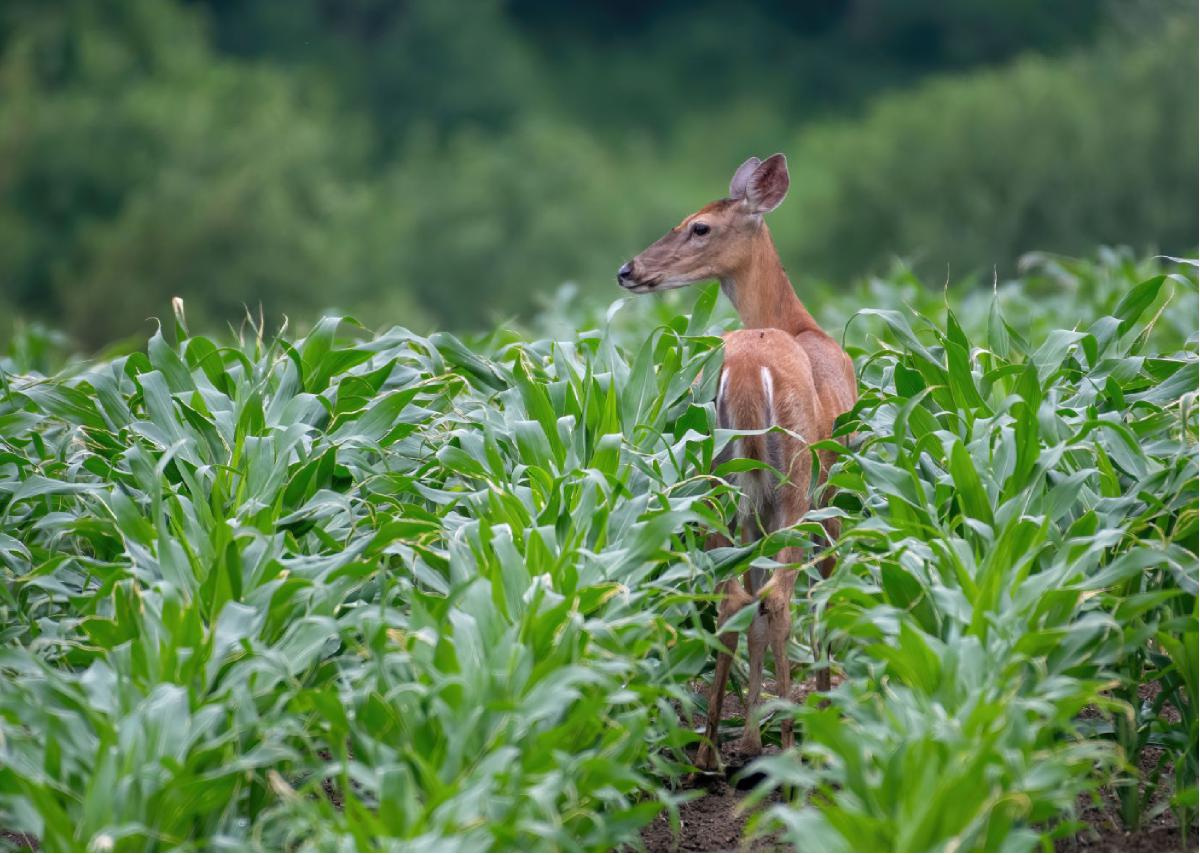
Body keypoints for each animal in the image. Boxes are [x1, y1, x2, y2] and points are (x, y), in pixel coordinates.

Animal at [619, 154, 854, 773]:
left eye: (699, 226)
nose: (627, 270)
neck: (802, 324)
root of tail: (747, 371)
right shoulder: (834, 488)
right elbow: (822, 591)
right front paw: (818, 716)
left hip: (717, 480)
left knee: (732, 598)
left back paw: (709, 752)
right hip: (791, 479)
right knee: (777, 596)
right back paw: (784, 748)